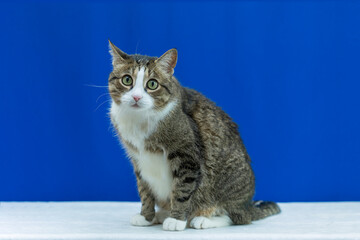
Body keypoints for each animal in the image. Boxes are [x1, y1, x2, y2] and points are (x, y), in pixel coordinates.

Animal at [107, 40, 282, 231]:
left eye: (152, 84)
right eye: (127, 80)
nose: (137, 97)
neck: (138, 120)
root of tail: (248, 206)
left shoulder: (187, 157)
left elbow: (182, 189)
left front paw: (176, 219)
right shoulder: (137, 159)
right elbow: (145, 191)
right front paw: (146, 216)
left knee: (236, 217)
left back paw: (203, 219)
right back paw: (162, 214)